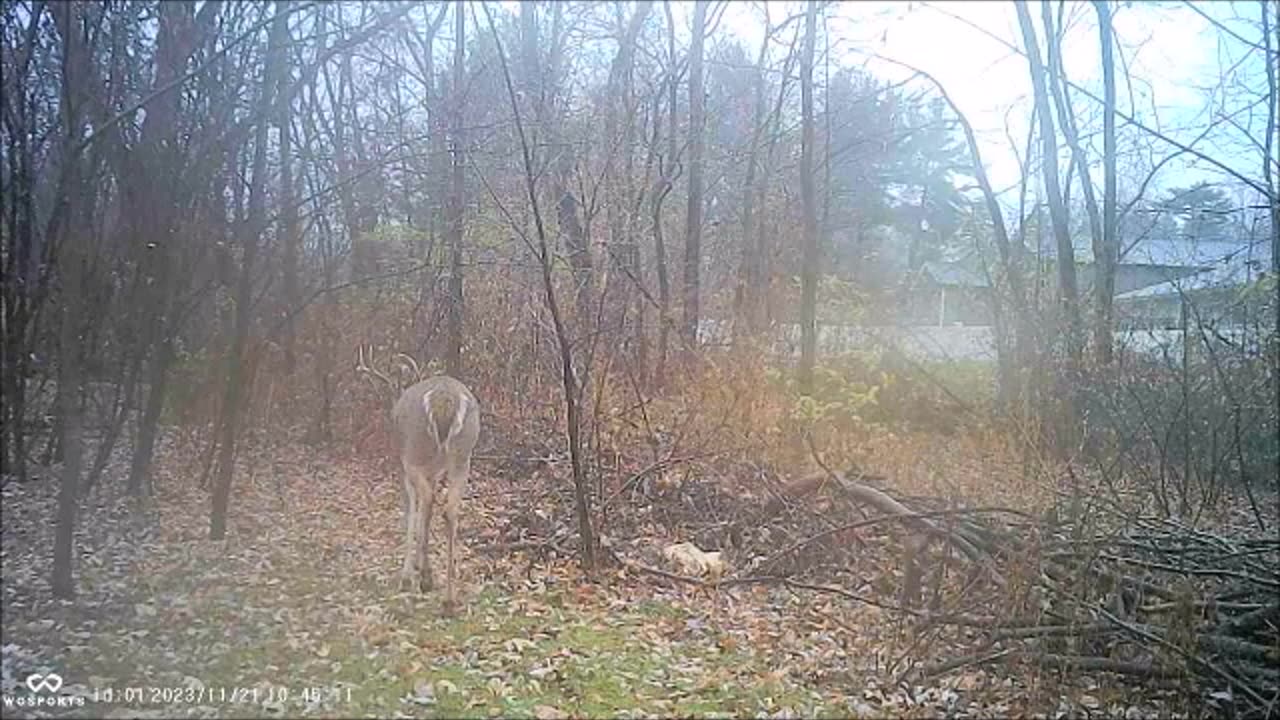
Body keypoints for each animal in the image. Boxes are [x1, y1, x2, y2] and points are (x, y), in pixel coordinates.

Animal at [355, 345, 481, 614]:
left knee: (428, 501)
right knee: (449, 509)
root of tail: (444, 399)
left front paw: (407, 574)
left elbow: (411, 512)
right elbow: (425, 514)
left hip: (415, 450)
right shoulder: (433, 471)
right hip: (462, 453)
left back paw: (426, 579)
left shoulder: (403, 464)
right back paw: (449, 598)